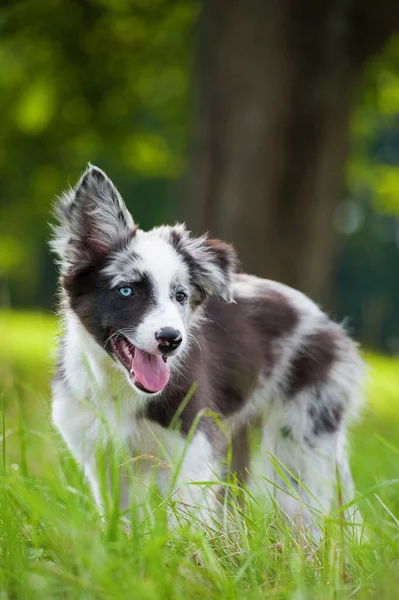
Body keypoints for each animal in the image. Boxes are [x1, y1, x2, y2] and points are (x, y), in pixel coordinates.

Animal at [50, 166, 366, 536]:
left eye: (180, 296)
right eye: (126, 291)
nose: (171, 339)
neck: (120, 389)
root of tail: (330, 326)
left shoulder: (192, 452)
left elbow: (185, 528)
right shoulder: (105, 458)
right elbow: (122, 522)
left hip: (302, 437)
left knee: (307, 513)